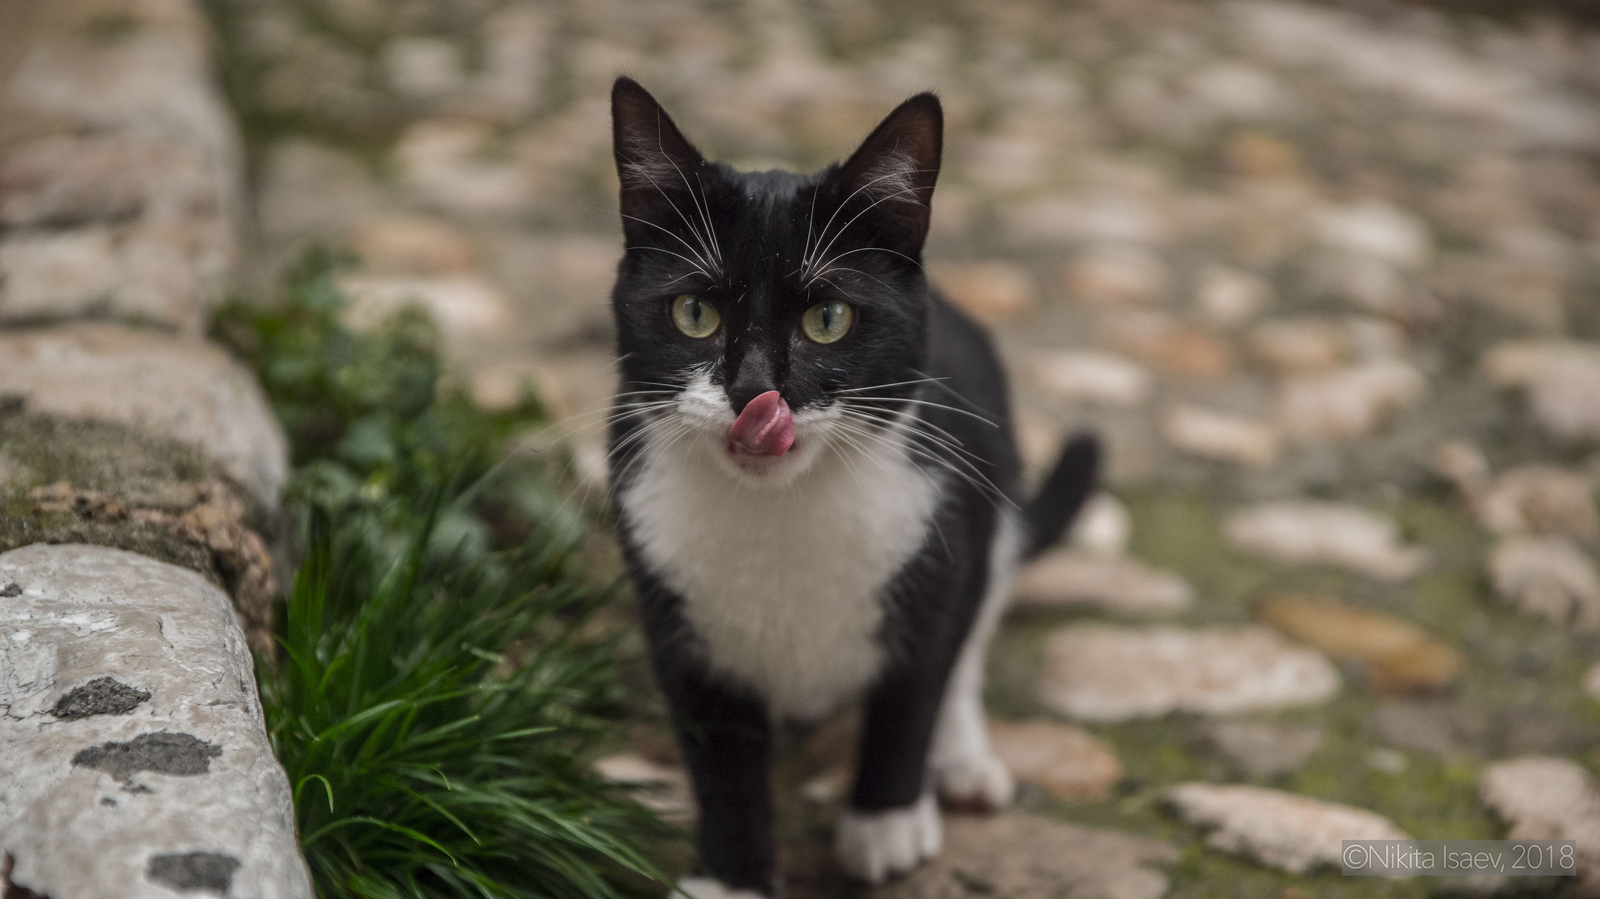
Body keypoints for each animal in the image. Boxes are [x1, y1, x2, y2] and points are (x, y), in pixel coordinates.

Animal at [601, 78, 1100, 895]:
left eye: (828, 318)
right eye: (694, 312)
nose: (754, 393)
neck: (780, 515)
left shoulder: (944, 538)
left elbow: (915, 687)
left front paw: (887, 820)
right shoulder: (672, 611)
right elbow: (719, 753)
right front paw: (728, 875)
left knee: (970, 643)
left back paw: (961, 762)